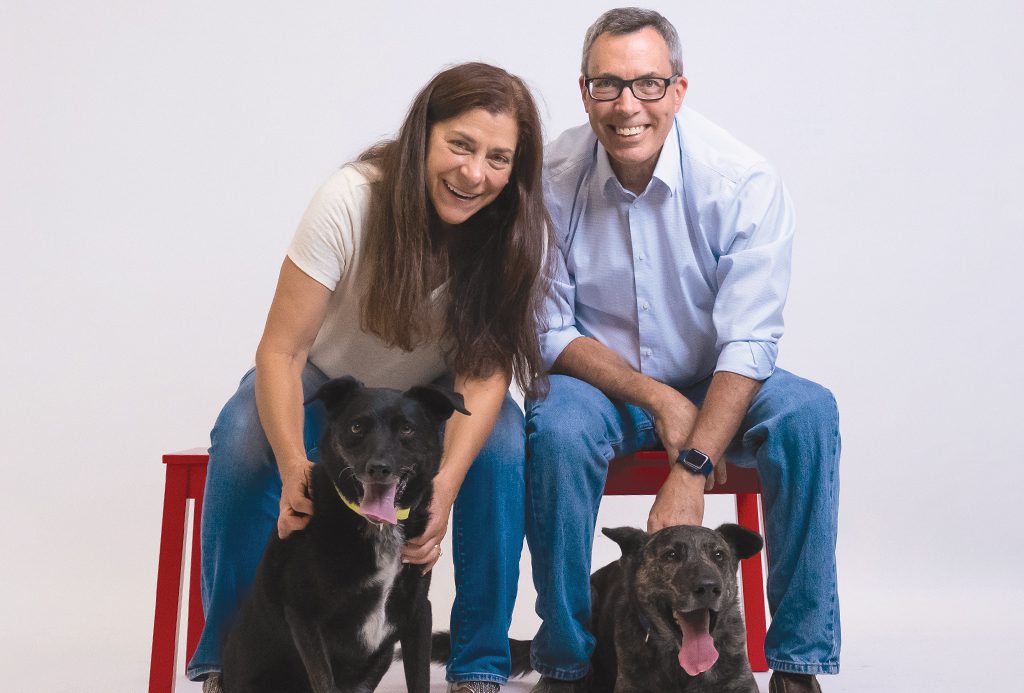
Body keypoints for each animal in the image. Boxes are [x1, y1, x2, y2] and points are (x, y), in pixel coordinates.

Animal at [222, 376, 468, 687]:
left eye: (407, 428)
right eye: (356, 427)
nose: (378, 468)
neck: (378, 527)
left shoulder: (418, 612)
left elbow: (419, 679)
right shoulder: (304, 615)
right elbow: (324, 681)